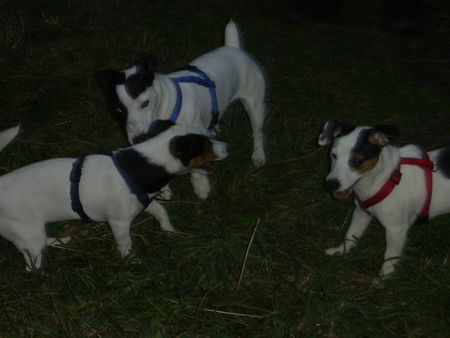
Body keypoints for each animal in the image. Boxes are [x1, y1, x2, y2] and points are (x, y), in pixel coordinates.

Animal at [0, 120, 227, 270]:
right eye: (205, 146)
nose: (228, 146)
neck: (141, 166)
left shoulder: (145, 203)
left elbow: (162, 212)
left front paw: (170, 231)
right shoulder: (119, 223)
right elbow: (125, 244)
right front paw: (132, 261)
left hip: (34, 233)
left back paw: (59, 241)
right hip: (30, 236)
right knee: (32, 266)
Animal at [97, 19, 268, 201]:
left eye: (145, 103)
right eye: (118, 110)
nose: (138, 139)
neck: (165, 108)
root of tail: (232, 47)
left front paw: (201, 185)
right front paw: (163, 189)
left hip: (255, 105)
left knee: (257, 132)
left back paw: (258, 155)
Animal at [318, 120, 450, 284]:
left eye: (357, 161)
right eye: (333, 155)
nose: (330, 184)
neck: (383, 179)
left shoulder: (396, 229)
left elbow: (390, 257)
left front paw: (383, 278)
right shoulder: (361, 213)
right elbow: (351, 235)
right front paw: (340, 251)